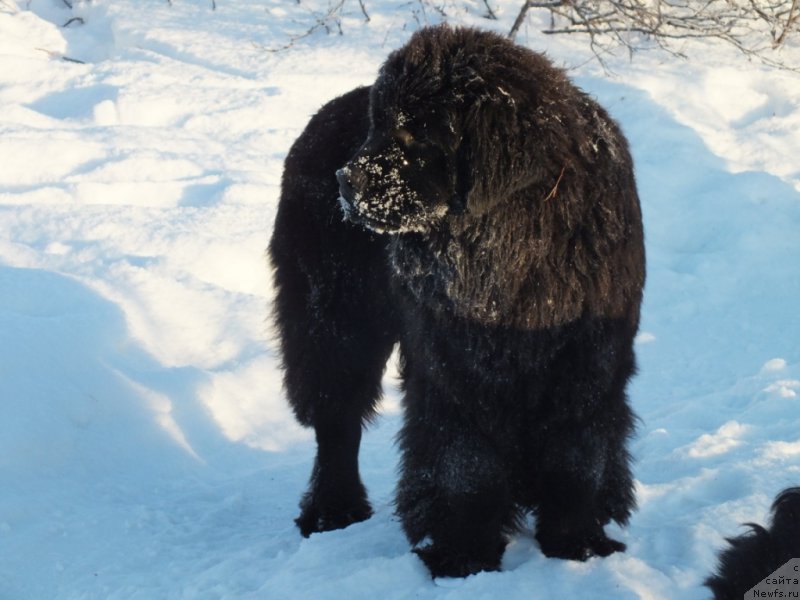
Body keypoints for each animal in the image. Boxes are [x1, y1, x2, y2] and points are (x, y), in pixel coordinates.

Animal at [268, 24, 644, 576]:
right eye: (377, 128)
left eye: (416, 137)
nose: (344, 181)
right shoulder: (455, 367)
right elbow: (465, 466)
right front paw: (462, 554)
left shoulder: (587, 363)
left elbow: (580, 457)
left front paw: (578, 544)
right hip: (335, 318)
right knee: (336, 419)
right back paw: (333, 510)